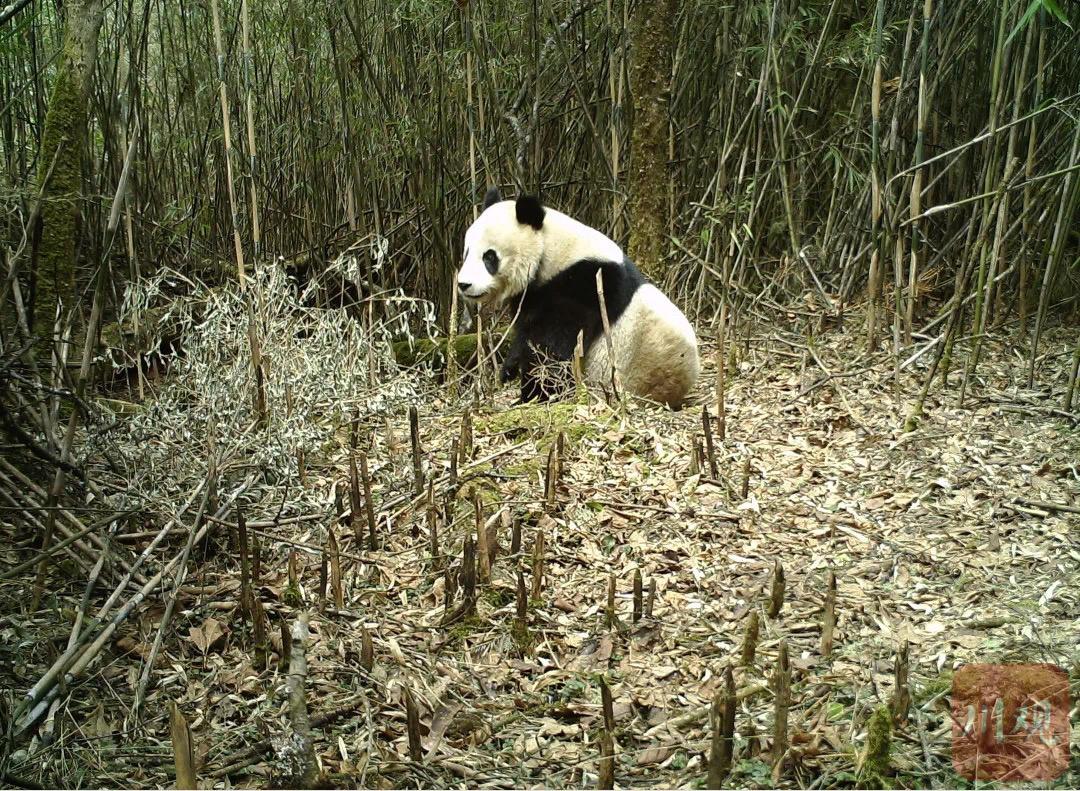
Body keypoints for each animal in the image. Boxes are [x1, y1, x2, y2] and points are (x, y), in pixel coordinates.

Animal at [455, 186, 699, 408]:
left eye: (489, 257)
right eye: (466, 252)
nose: (464, 284)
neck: (553, 252)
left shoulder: (582, 285)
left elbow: (551, 349)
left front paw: (535, 394)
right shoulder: (534, 293)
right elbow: (526, 332)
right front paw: (509, 370)